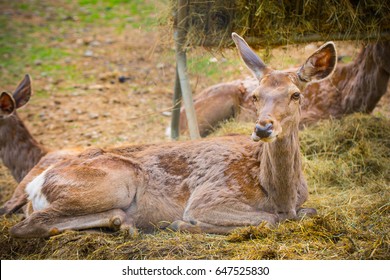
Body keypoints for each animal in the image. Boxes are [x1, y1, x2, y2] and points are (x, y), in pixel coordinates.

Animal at [9, 33, 338, 238]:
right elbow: (270, 220)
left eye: (296, 94)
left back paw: (122, 223)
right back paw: (132, 222)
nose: (262, 128)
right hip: (116, 181)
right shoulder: (208, 197)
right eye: (256, 96)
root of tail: (36, 185)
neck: (280, 194)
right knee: (25, 225)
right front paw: (184, 224)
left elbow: (309, 211)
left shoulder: (301, 203)